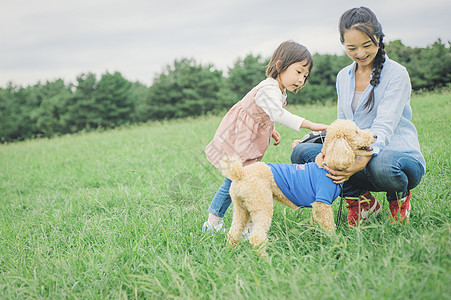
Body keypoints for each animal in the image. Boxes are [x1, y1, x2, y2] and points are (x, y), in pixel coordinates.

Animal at [221, 119, 376, 258]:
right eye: (356, 132)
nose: (375, 136)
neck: (327, 163)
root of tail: (240, 173)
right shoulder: (322, 203)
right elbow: (329, 226)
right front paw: (336, 243)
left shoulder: (316, 207)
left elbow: (316, 224)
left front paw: (317, 239)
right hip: (262, 205)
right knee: (256, 237)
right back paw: (265, 259)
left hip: (241, 208)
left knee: (233, 232)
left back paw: (229, 252)